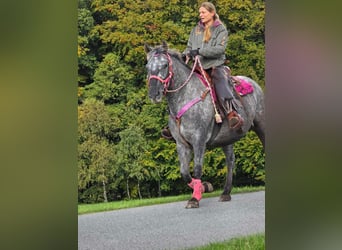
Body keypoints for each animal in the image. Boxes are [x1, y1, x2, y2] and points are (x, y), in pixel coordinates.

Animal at [144, 42, 264, 208]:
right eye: (147, 67)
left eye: (165, 64)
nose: (154, 93)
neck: (186, 96)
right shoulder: (182, 144)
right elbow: (184, 172)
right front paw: (203, 187)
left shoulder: (199, 141)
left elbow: (197, 168)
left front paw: (195, 198)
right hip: (227, 138)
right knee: (230, 161)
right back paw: (226, 193)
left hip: (261, 125)